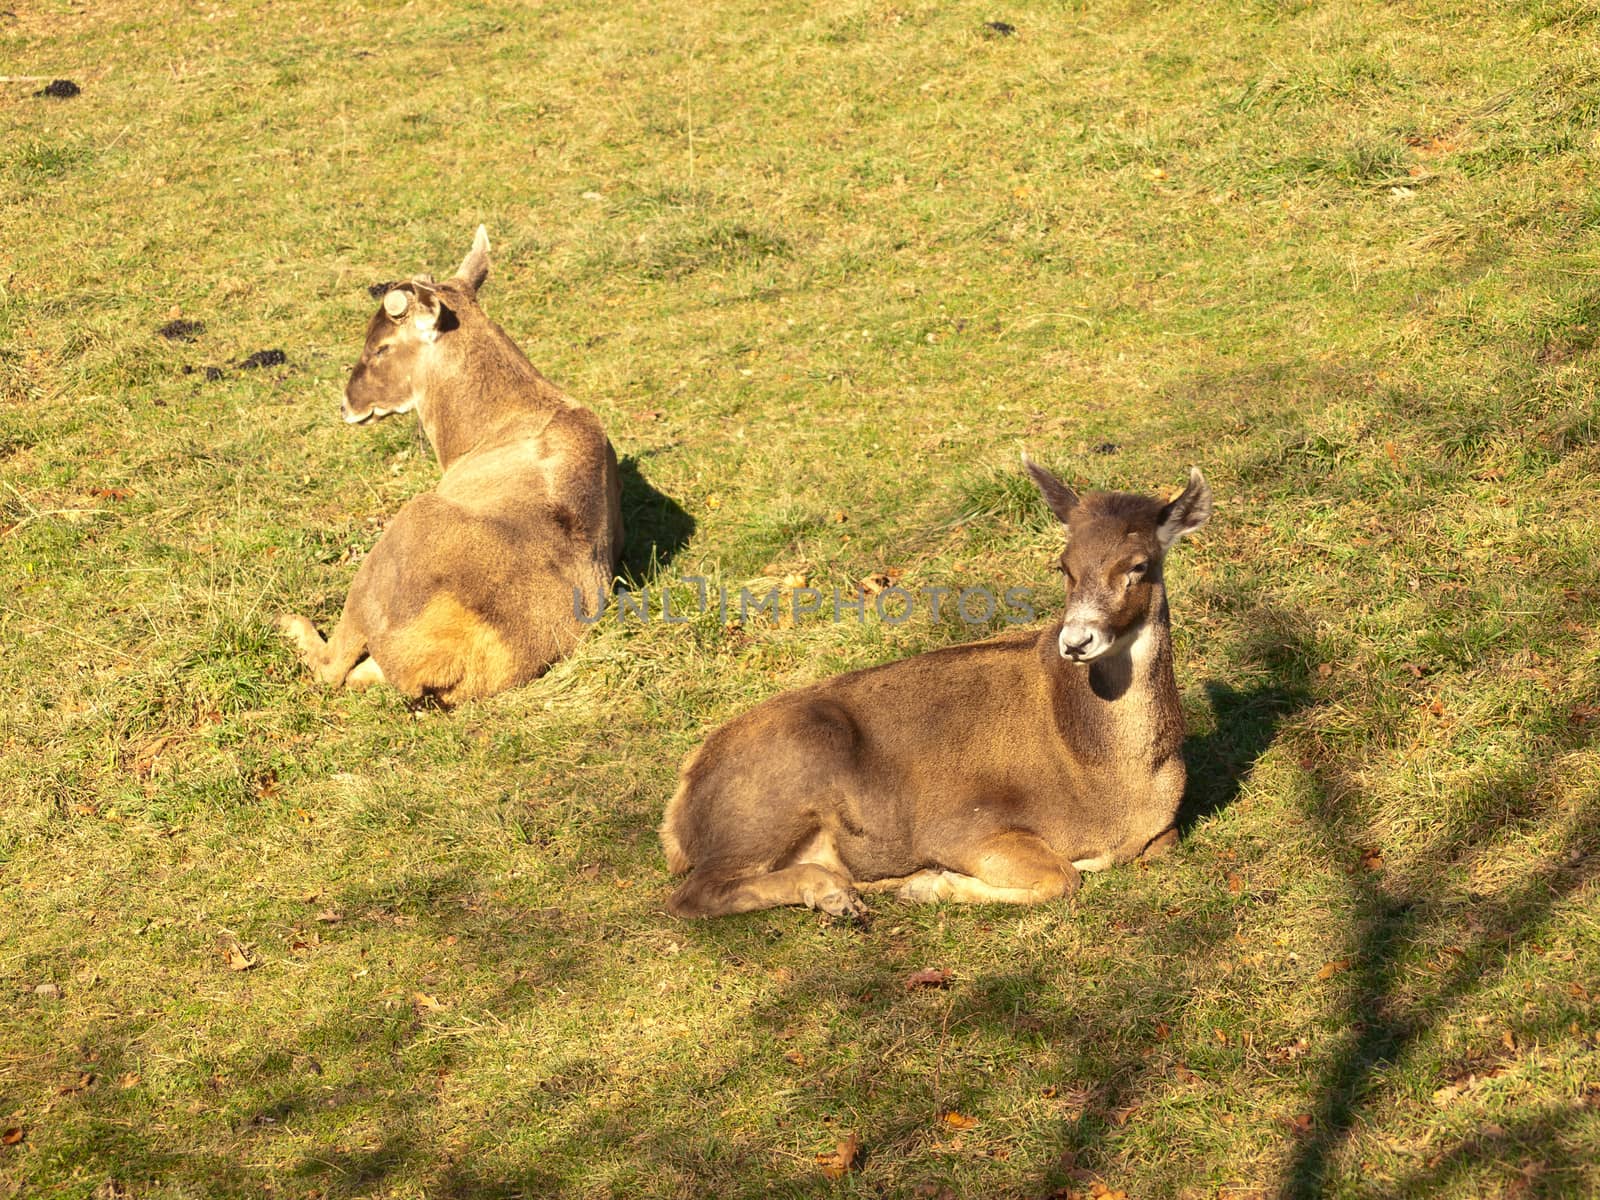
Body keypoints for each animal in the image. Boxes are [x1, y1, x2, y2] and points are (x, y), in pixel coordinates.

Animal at [278, 227, 620, 704]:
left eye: (381, 347)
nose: (347, 404)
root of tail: (452, 657)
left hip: (398, 540)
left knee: (333, 667)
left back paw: (291, 623)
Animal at [662, 460, 1209, 921]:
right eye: (1064, 565)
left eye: (1138, 565)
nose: (1075, 641)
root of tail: (678, 814)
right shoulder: (959, 823)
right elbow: (1062, 876)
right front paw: (928, 884)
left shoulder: (1162, 829)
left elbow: (1153, 847)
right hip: (775, 789)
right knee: (693, 894)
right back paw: (836, 894)